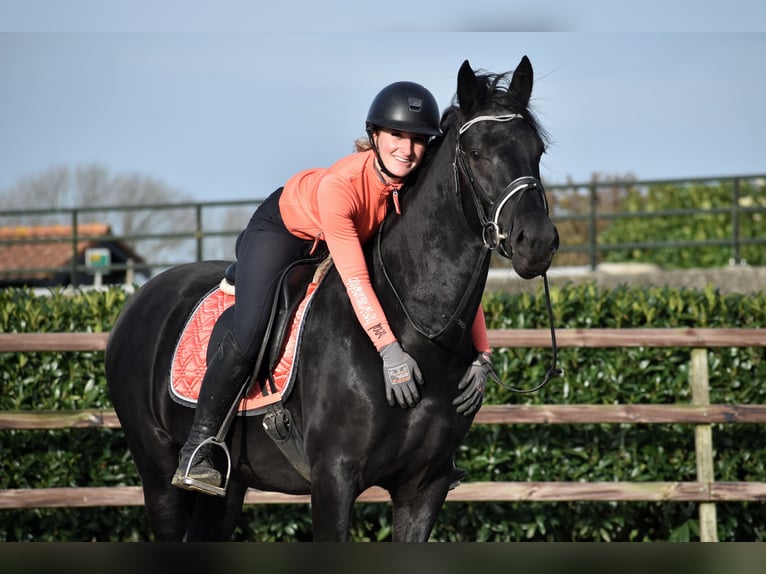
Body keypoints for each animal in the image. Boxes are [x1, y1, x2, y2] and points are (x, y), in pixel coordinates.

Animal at [105, 56, 560, 544]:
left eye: (537, 151)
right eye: (475, 153)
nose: (537, 242)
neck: (414, 330)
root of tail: (138, 301)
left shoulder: (425, 487)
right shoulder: (333, 480)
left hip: (229, 489)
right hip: (159, 476)